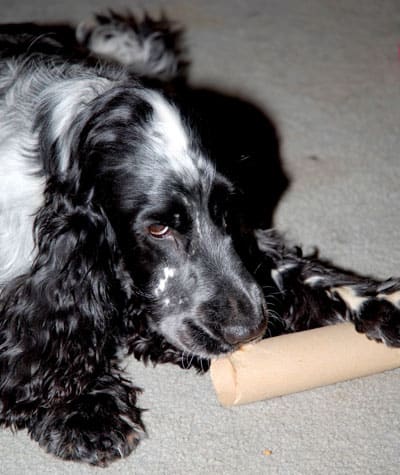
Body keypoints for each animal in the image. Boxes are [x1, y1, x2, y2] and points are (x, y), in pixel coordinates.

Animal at [0, 12, 398, 468]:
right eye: (159, 229)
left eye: (229, 208)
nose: (248, 330)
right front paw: (82, 410)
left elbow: (298, 274)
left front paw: (382, 304)